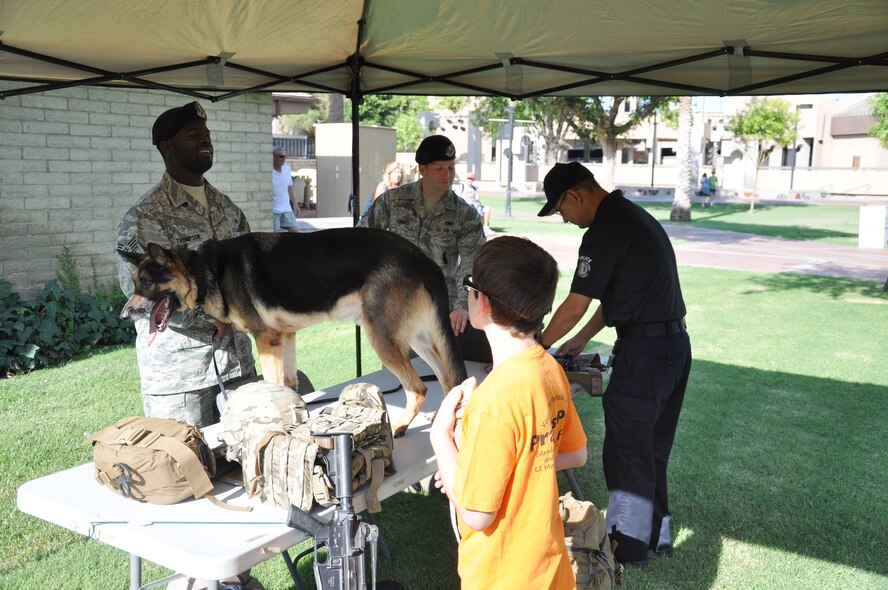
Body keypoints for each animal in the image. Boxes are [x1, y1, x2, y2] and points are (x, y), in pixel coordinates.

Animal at [120, 229, 468, 438]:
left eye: (147, 284)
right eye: (135, 284)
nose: (125, 314)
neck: (206, 270)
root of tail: (423, 258)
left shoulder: (266, 341)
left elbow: (272, 386)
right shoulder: (284, 338)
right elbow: (288, 389)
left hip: (383, 338)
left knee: (418, 388)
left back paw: (399, 426)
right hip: (418, 340)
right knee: (448, 378)